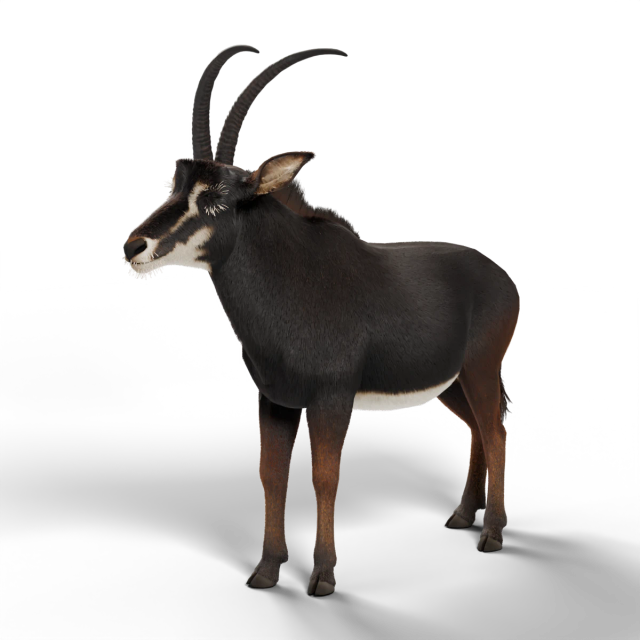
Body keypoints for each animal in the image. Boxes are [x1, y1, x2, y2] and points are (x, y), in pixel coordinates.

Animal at [122, 45, 520, 595]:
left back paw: (493, 532)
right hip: (450, 384)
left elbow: (323, 478)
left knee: (495, 432)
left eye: (218, 197)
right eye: (174, 185)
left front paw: (323, 574)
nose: (133, 247)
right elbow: (271, 475)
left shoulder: (331, 400)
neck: (294, 281)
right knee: (478, 430)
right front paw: (267, 569)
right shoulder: (275, 401)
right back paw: (463, 514)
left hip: (479, 371)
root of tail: (502, 276)